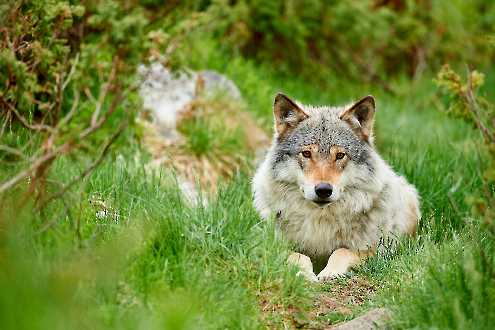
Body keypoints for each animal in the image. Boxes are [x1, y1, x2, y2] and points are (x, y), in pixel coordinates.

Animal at [254, 93, 420, 282]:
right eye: (306, 153)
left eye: (340, 155)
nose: (323, 190)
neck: (320, 222)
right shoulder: (271, 247)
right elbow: (298, 256)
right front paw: (305, 274)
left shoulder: (376, 250)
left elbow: (341, 252)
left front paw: (329, 272)